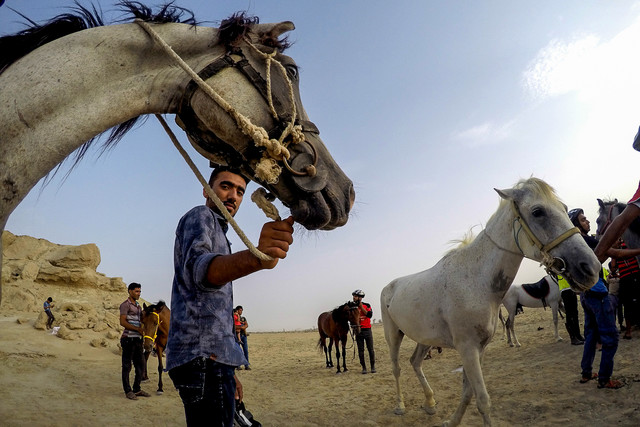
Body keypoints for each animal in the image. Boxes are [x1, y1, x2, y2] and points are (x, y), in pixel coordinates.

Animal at [382, 176, 604, 424]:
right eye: (538, 212)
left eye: (565, 209)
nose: (591, 268)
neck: (476, 282)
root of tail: (388, 288)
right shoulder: (467, 348)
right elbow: (482, 400)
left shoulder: (479, 348)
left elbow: (468, 393)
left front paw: (452, 421)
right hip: (393, 336)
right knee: (396, 368)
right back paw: (400, 406)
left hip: (425, 339)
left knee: (415, 362)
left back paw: (430, 404)